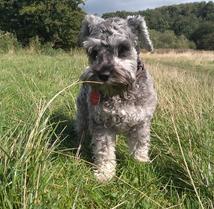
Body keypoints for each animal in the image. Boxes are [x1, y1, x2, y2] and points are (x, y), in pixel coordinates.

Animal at [76, 14, 156, 181]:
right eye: (93, 52)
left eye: (123, 49)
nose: (103, 74)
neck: (120, 92)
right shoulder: (102, 125)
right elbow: (104, 150)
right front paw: (105, 173)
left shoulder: (141, 123)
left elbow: (140, 145)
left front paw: (140, 164)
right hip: (83, 115)